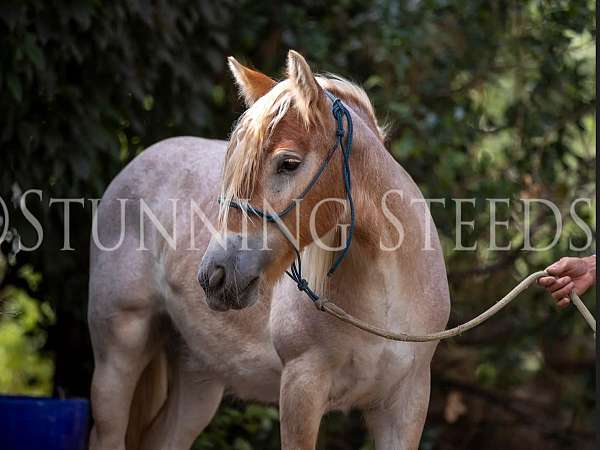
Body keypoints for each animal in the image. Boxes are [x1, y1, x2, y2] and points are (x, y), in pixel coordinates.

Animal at [89, 50, 450, 450]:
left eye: (288, 163)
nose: (215, 276)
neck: (383, 299)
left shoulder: (404, 405)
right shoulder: (300, 389)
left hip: (198, 378)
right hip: (118, 356)